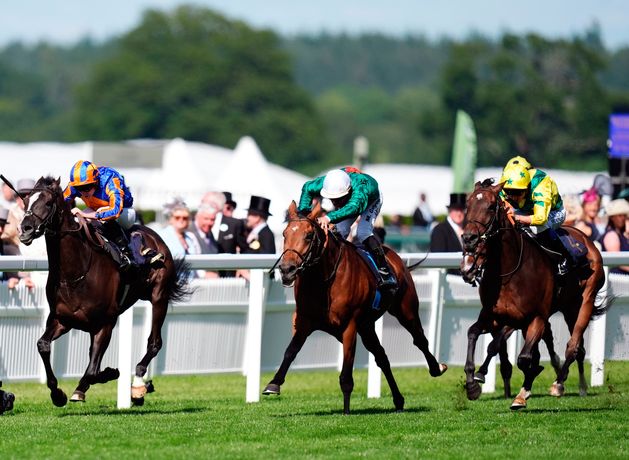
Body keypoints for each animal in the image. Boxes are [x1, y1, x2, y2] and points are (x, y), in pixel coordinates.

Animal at [19, 176, 191, 406]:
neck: (75, 273)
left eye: (47, 203)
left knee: (155, 342)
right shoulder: (62, 319)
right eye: (25, 200)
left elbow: (93, 370)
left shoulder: (105, 323)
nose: (25, 229)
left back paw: (138, 385)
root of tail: (156, 235)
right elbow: (43, 345)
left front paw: (102, 378)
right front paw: (58, 393)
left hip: (159, 296)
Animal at [262, 200, 448, 414]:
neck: (323, 281)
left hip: (406, 311)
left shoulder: (349, 326)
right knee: (381, 356)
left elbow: (346, 372)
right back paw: (398, 400)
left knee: (420, 340)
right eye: (285, 234)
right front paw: (273, 384)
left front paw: (346, 411)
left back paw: (436, 368)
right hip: (367, 326)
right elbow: (290, 351)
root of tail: (396, 258)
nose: (287, 270)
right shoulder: (305, 322)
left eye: (308, 235)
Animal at [458, 180, 604, 410]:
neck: (509, 272)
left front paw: (524, 389)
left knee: (573, 346)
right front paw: (473, 383)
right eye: (468, 205)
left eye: (490, 206)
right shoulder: (496, 316)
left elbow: (524, 358)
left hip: (585, 302)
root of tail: (588, 242)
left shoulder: (535, 317)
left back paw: (559, 384)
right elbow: (475, 334)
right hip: (567, 308)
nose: (469, 238)